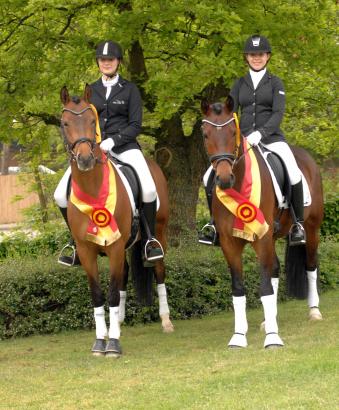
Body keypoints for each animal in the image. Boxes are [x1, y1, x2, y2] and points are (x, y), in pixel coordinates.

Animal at [59, 85, 174, 358]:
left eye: (92, 120)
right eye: (65, 123)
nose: (85, 160)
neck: (92, 188)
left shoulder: (114, 247)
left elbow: (111, 293)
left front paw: (112, 344)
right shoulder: (87, 251)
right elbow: (98, 295)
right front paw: (101, 340)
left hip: (157, 232)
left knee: (159, 270)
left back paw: (165, 320)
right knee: (124, 273)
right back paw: (118, 322)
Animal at [202, 97, 324, 350]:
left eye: (233, 132)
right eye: (206, 134)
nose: (224, 179)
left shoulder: (262, 237)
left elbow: (265, 286)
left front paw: (273, 339)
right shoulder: (229, 243)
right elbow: (238, 288)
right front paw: (239, 336)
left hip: (311, 229)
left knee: (311, 265)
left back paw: (314, 311)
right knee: (275, 268)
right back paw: (270, 320)